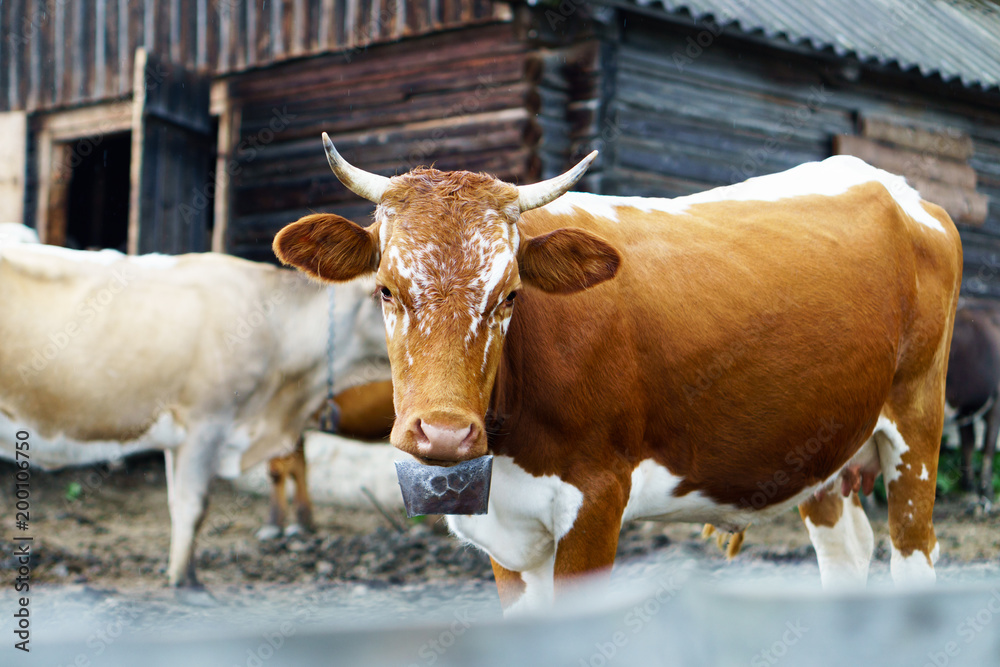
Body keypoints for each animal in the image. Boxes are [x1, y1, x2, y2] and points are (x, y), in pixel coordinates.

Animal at [274, 137, 960, 616]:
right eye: (385, 289)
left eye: (510, 295)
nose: (444, 435)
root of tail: (894, 187)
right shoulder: (506, 532)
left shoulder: (597, 498)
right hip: (822, 447)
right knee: (847, 555)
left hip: (916, 426)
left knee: (914, 558)